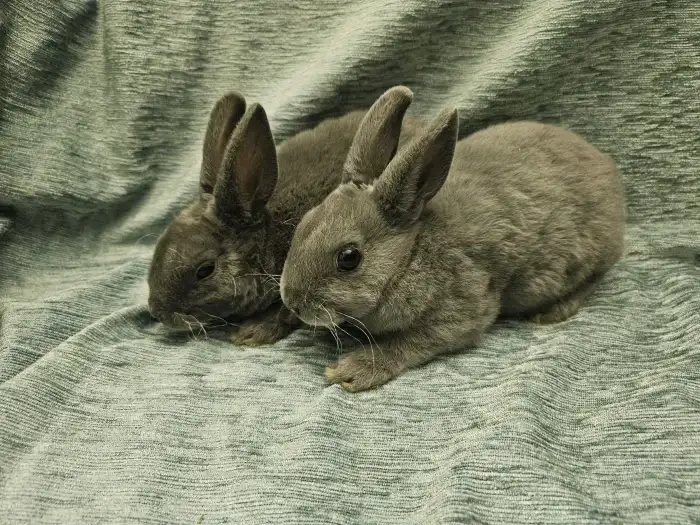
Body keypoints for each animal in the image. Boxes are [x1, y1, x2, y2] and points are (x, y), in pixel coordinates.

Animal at [280, 85, 626, 391]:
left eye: (349, 258)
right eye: (304, 224)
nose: (292, 302)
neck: (410, 256)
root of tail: (609, 172)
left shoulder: (461, 310)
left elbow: (409, 342)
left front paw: (352, 370)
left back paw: (552, 312)